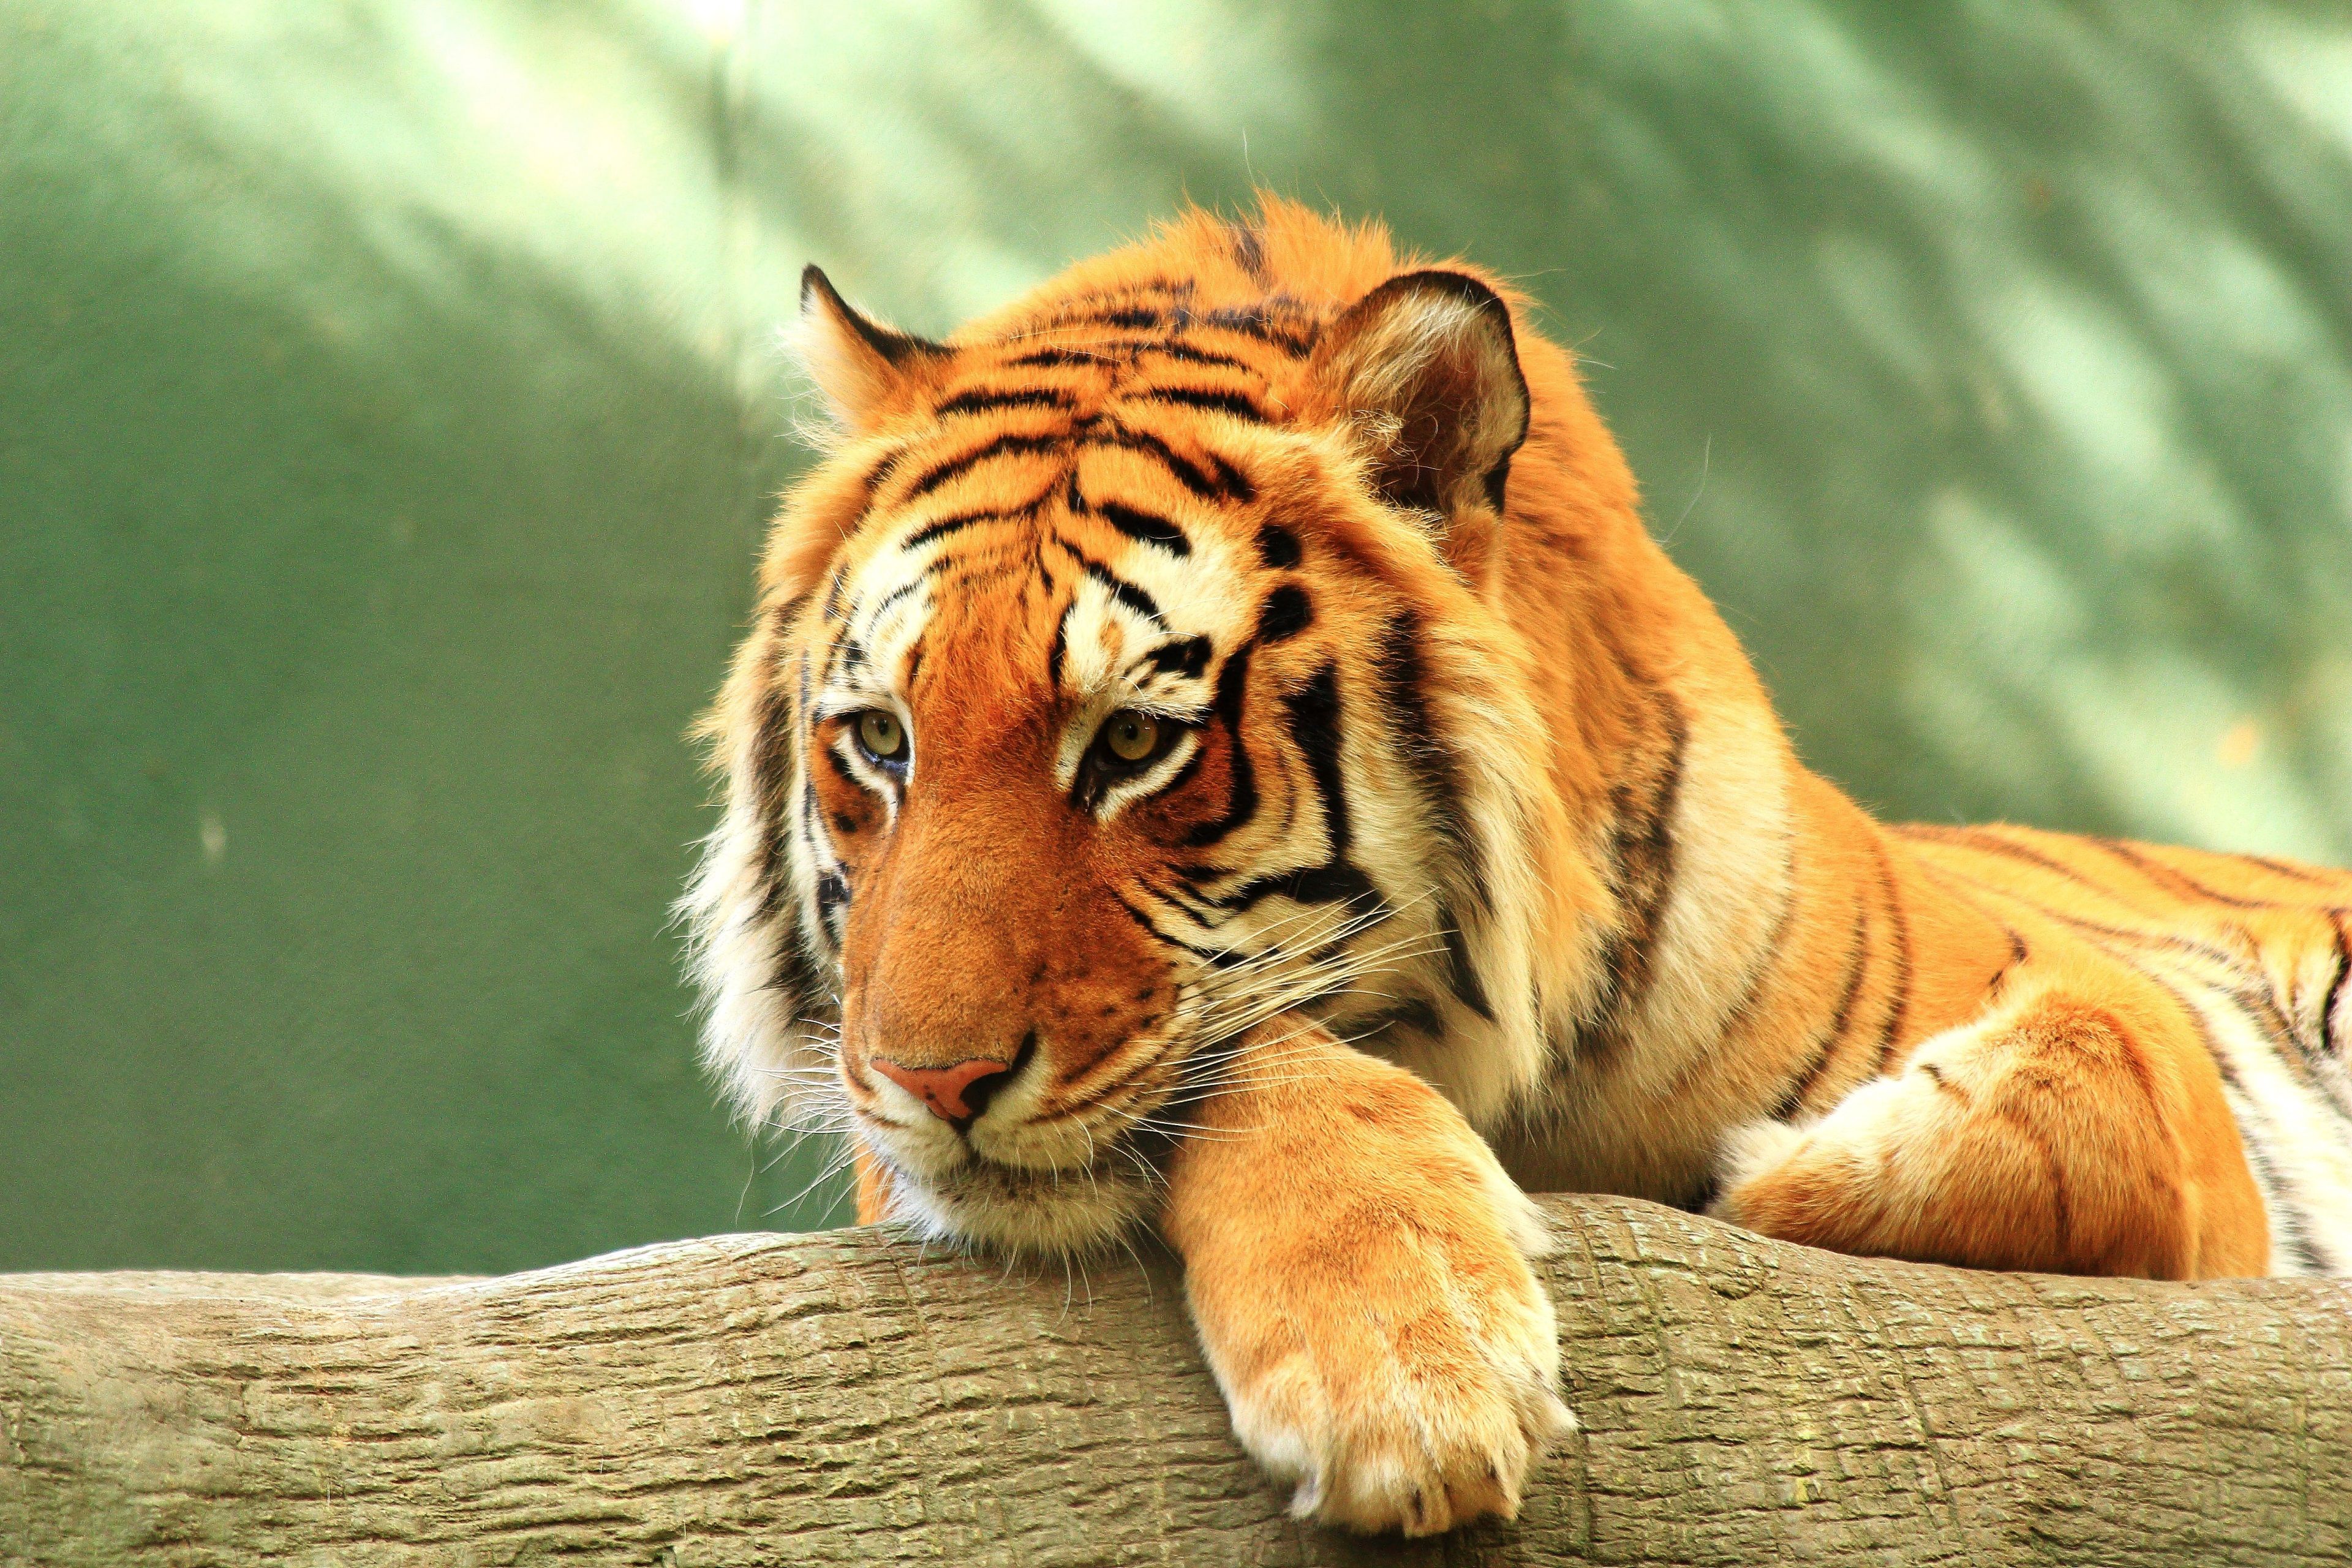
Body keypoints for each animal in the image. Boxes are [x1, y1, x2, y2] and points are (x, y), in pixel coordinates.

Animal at [682, 195, 2352, 1536]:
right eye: (880, 740)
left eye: (1137, 741)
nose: (925, 1082)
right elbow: (1261, 1053)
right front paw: (1404, 1372)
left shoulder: (2119, 1040)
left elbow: (2099, 1080)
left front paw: (1779, 1172)